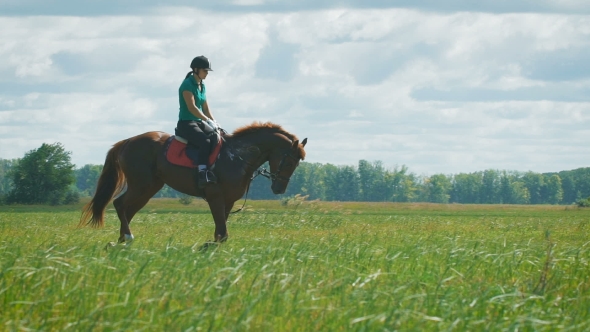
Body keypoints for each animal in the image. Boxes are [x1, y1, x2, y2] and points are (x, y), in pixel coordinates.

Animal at [80, 122, 310, 246]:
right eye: (289, 161)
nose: (279, 189)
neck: (237, 156)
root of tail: (127, 141)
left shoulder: (227, 201)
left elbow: (221, 232)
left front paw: (210, 246)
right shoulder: (215, 197)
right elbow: (222, 233)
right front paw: (207, 246)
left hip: (150, 187)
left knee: (128, 210)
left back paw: (121, 241)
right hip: (140, 184)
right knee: (120, 204)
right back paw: (126, 237)